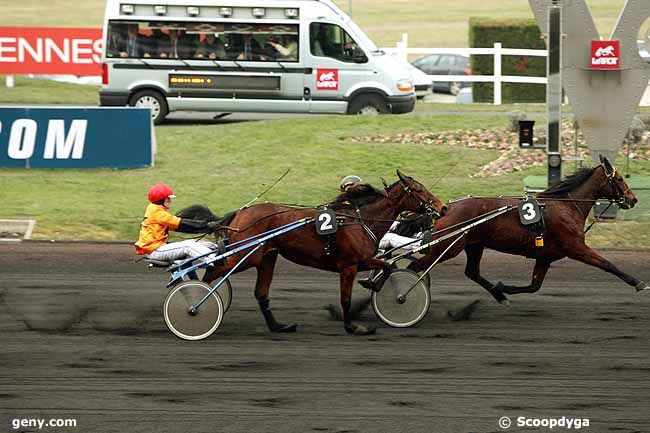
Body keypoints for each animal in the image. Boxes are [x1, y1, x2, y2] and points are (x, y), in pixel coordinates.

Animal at [408, 156, 644, 304]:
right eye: (620, 178)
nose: (633, 199)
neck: (566, 206)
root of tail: (445, 209)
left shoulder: (546, 256)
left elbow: (534, 286)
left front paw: (503, 288)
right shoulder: (575, 247)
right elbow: (607, 264)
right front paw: (638, 282)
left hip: (474, 245)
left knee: (471, 272)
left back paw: (499, 295)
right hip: (447, 248)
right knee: (415, 266)